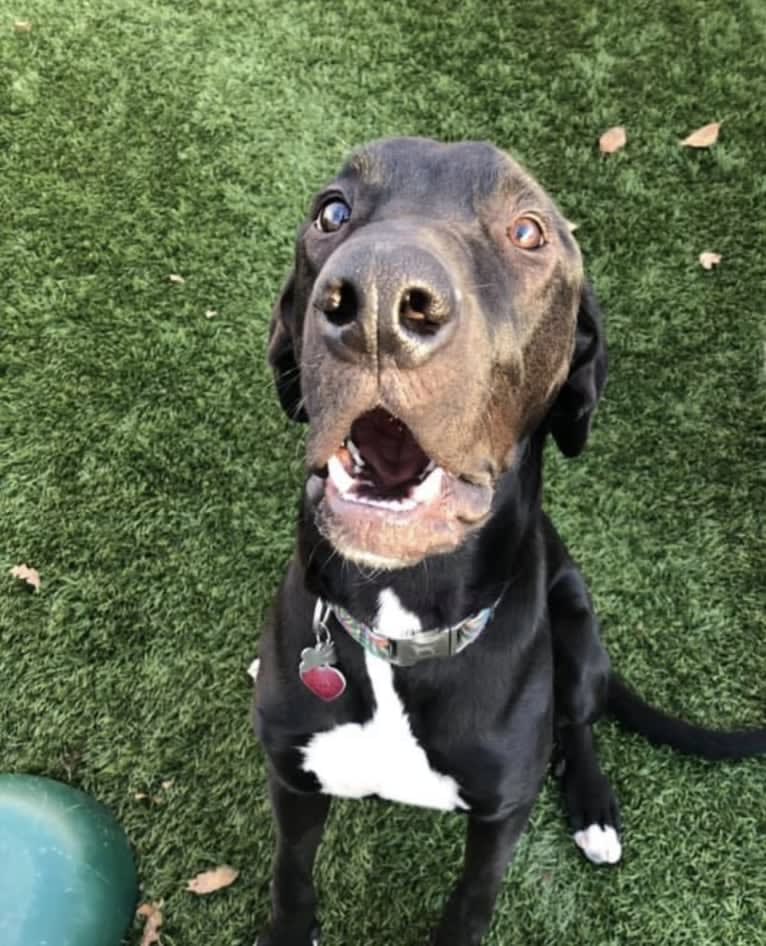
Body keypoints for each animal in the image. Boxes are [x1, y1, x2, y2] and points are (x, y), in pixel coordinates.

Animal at [252, 138, 766, 944]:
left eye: (529, 232)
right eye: (331, 211)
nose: (377, 305)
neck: (402, 624)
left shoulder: (501, 816)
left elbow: (472, 903)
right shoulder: (293, 779)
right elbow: (291, 881)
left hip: (580, 630)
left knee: (578, 722)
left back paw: (593, 808)